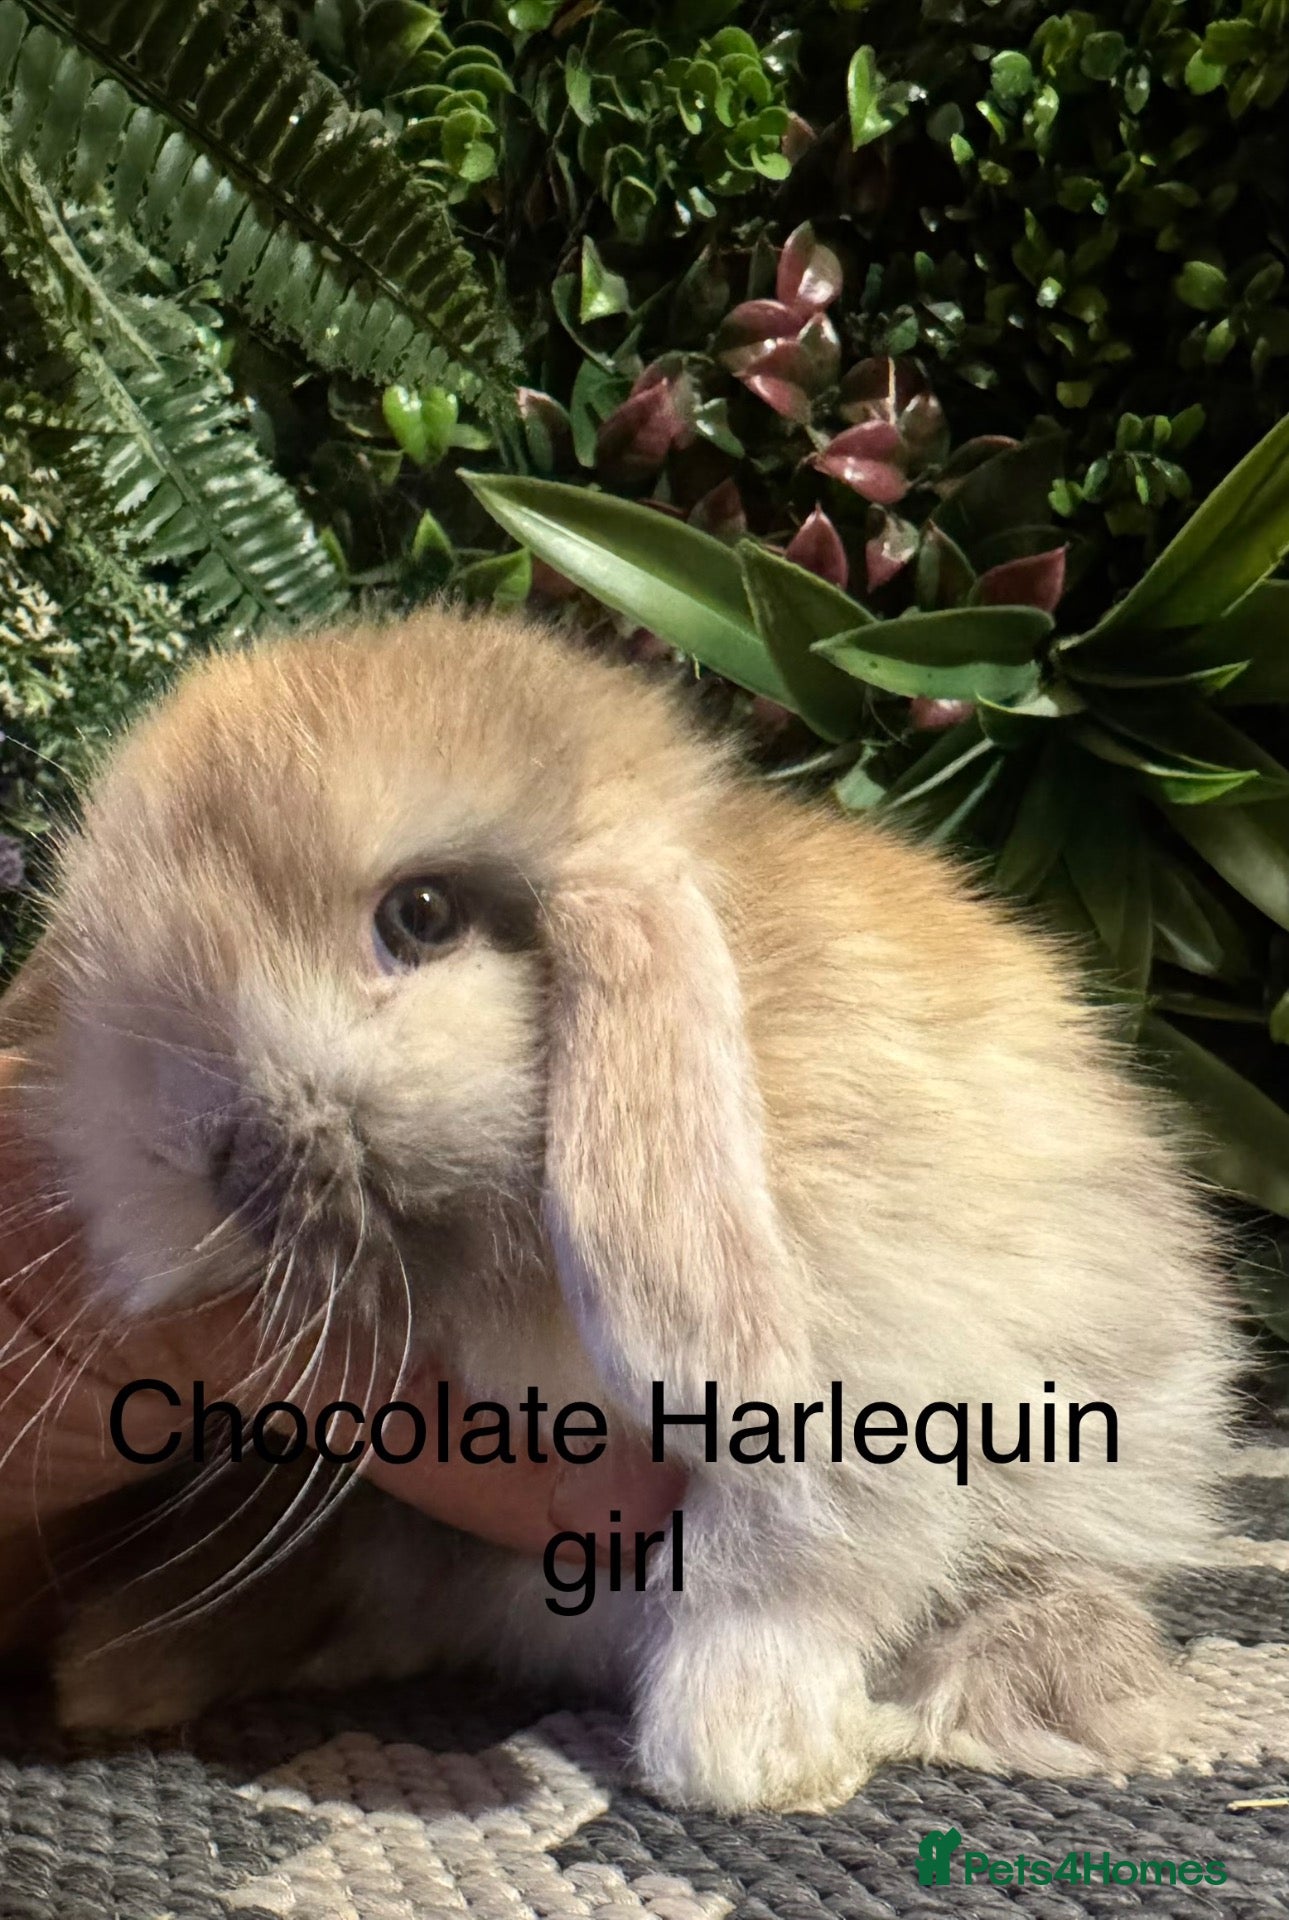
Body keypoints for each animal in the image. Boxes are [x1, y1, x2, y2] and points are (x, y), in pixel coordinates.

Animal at [1, 603, 1241, 1813]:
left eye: (420, 915)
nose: (178, 1150)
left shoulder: (879, 1404)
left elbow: (776, 1570)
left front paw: (743, 1755)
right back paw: (117, 1671)